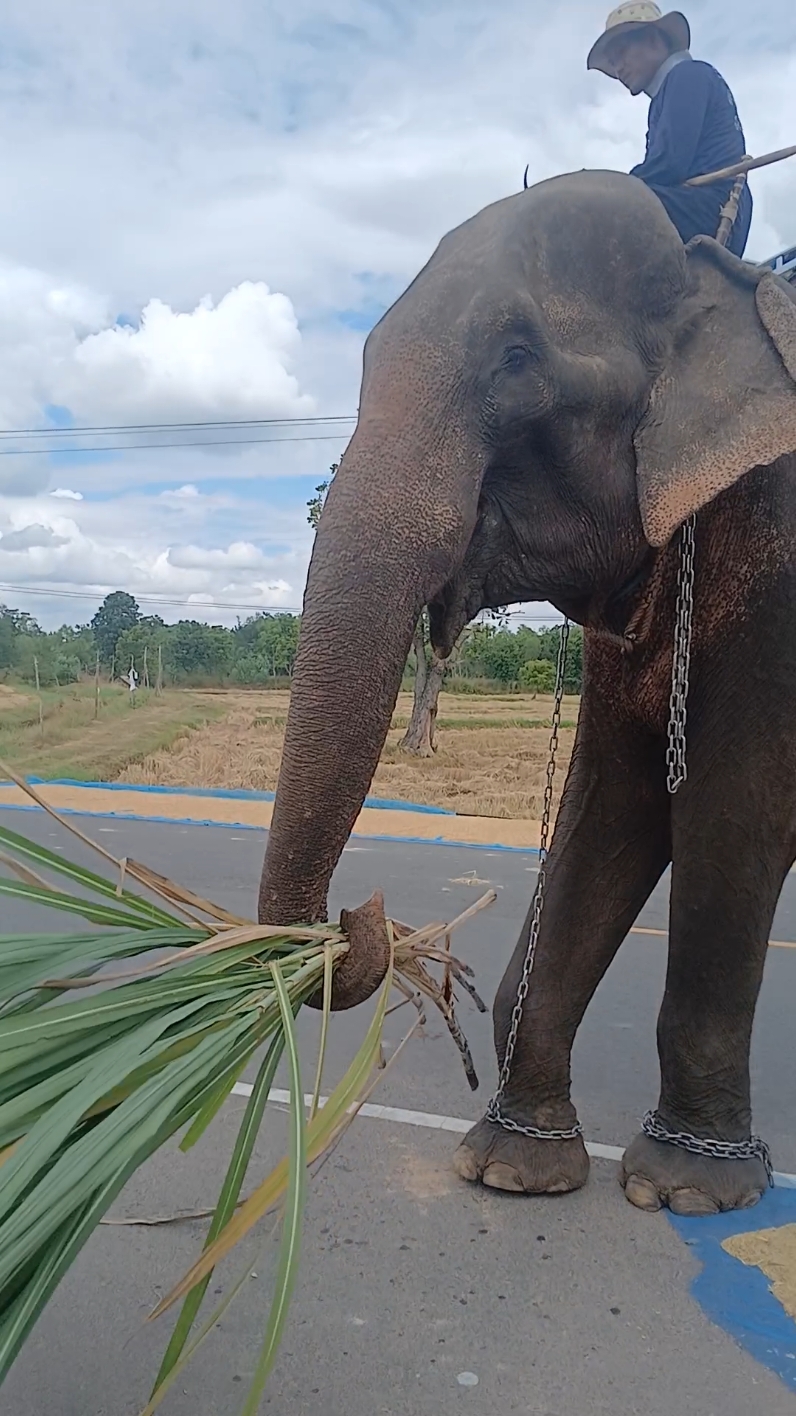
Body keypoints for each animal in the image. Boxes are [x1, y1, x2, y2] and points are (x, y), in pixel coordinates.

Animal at [259, 171, 793, 1217]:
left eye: (517, 358)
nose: (357, 925)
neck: (713, 283)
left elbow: (733, 804)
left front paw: (690, 1189)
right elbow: (614, 802)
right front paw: (513, 1165)